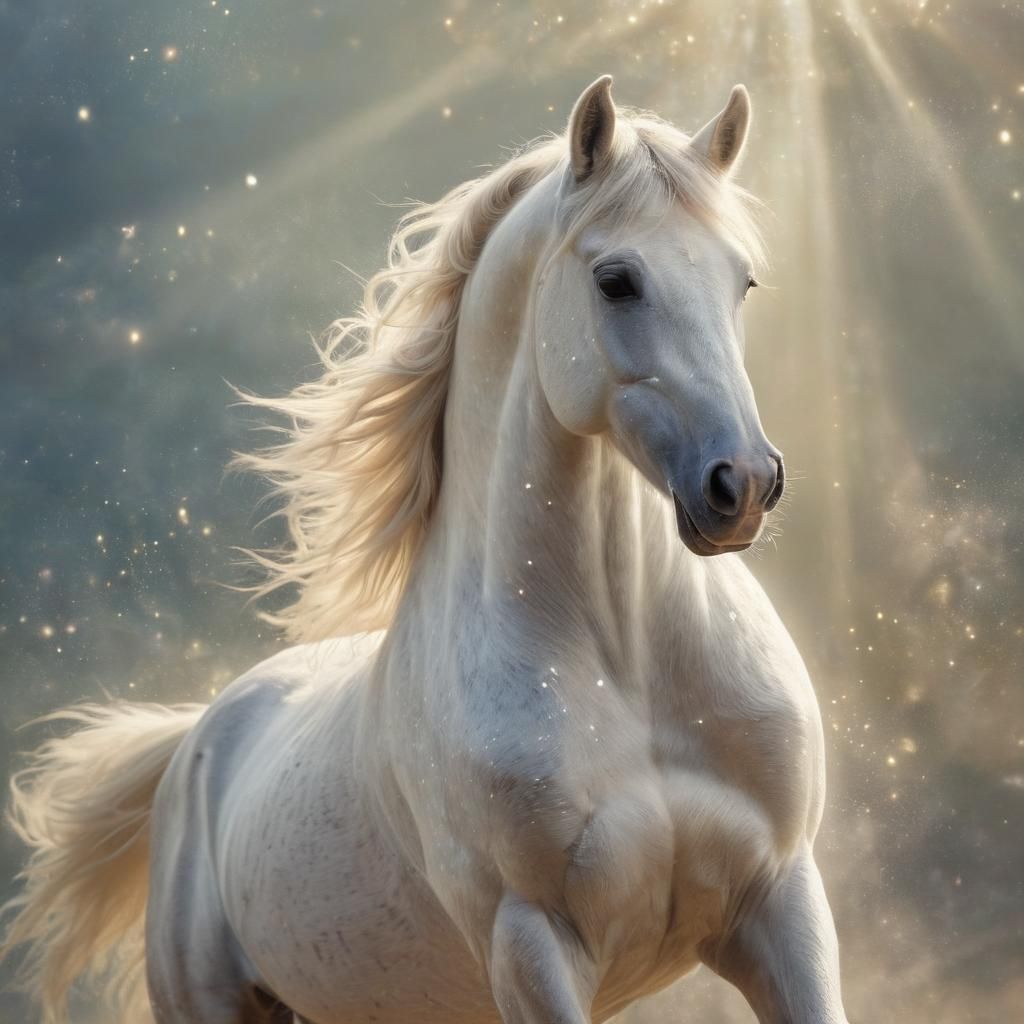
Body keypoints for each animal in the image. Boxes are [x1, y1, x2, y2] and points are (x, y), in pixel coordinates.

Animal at [1, 77, 850, 1024]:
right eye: (617, 280)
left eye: (743, 279)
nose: (744, 483)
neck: (628, 671)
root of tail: (195, 738)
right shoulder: (531, 942)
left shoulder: (782, 900)